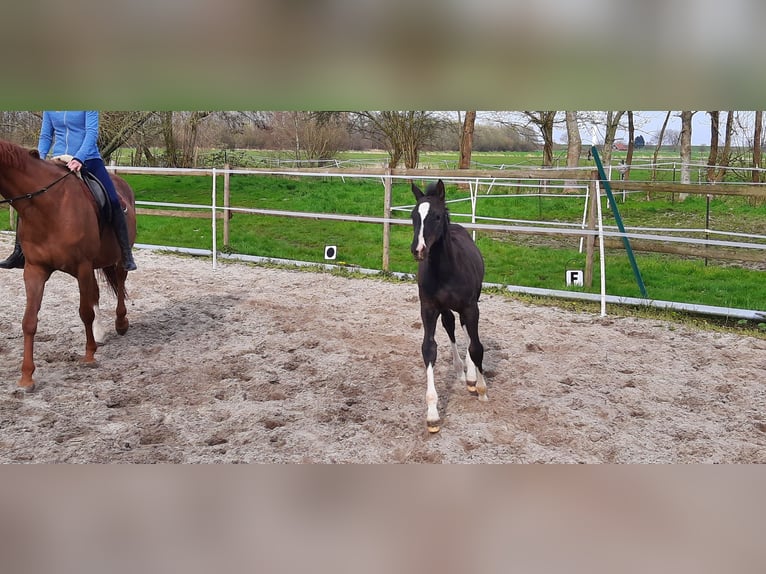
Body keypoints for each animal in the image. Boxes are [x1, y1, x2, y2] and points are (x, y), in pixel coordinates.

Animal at [0, 140, 136, 392]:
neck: (47, 207)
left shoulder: (82, 266)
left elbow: (84, 312)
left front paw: (89, 356)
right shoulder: (35, 270)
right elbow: (29, 321)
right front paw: (26, 377)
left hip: (118, 257)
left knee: (120, 284)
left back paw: (121, 323)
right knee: (96, 293)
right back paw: (100, 332)